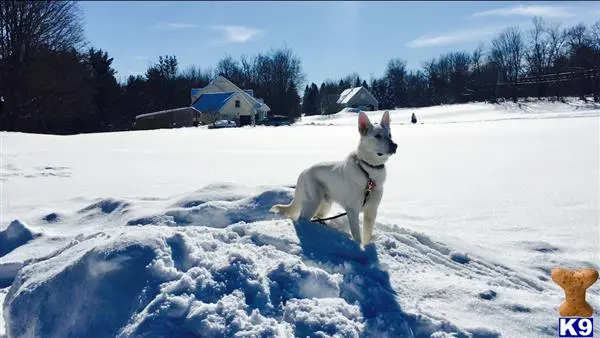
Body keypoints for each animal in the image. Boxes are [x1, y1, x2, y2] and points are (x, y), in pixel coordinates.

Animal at [270, 111, 396, 246]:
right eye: (378, 136)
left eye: (389, 135)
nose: (395, 146)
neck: (368, 171)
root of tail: (304, 171)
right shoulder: (352, 211)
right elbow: (357, 235)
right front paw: (359, 247)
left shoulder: (371, 212)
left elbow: (367, 235)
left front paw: (366, 246)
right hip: (312, 202)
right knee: (302, 219)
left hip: (325, 205)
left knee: (317, 216)